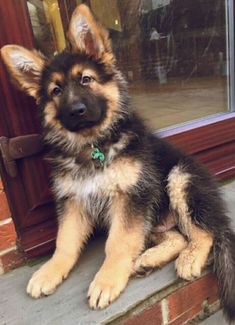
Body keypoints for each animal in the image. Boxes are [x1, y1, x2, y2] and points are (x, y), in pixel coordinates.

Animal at [1, 5, 235, 322]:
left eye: (86, 80)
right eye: (56, 91)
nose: (76, 111)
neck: (94, 146)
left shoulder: (131, 196)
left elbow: (118, 242)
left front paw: (107, 280)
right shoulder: (74, 200)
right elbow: (65, 241)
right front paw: (49, 271)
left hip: (179, 178)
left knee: (204, 232)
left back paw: (190, 258)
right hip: (154, 218)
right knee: (177, 237)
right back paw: (148, 259)